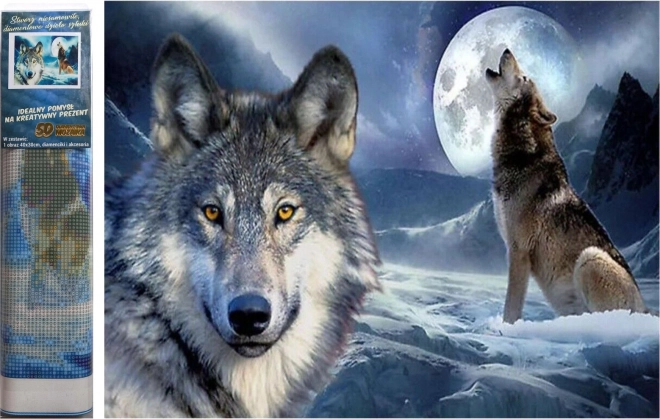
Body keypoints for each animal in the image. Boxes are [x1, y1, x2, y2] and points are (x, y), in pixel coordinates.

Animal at [486, 49, 648, 324]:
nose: (507, 49)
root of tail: (648, 311)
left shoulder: (518, 250)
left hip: (590, 258)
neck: (522, 156)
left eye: (525, 77)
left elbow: (511, 307)